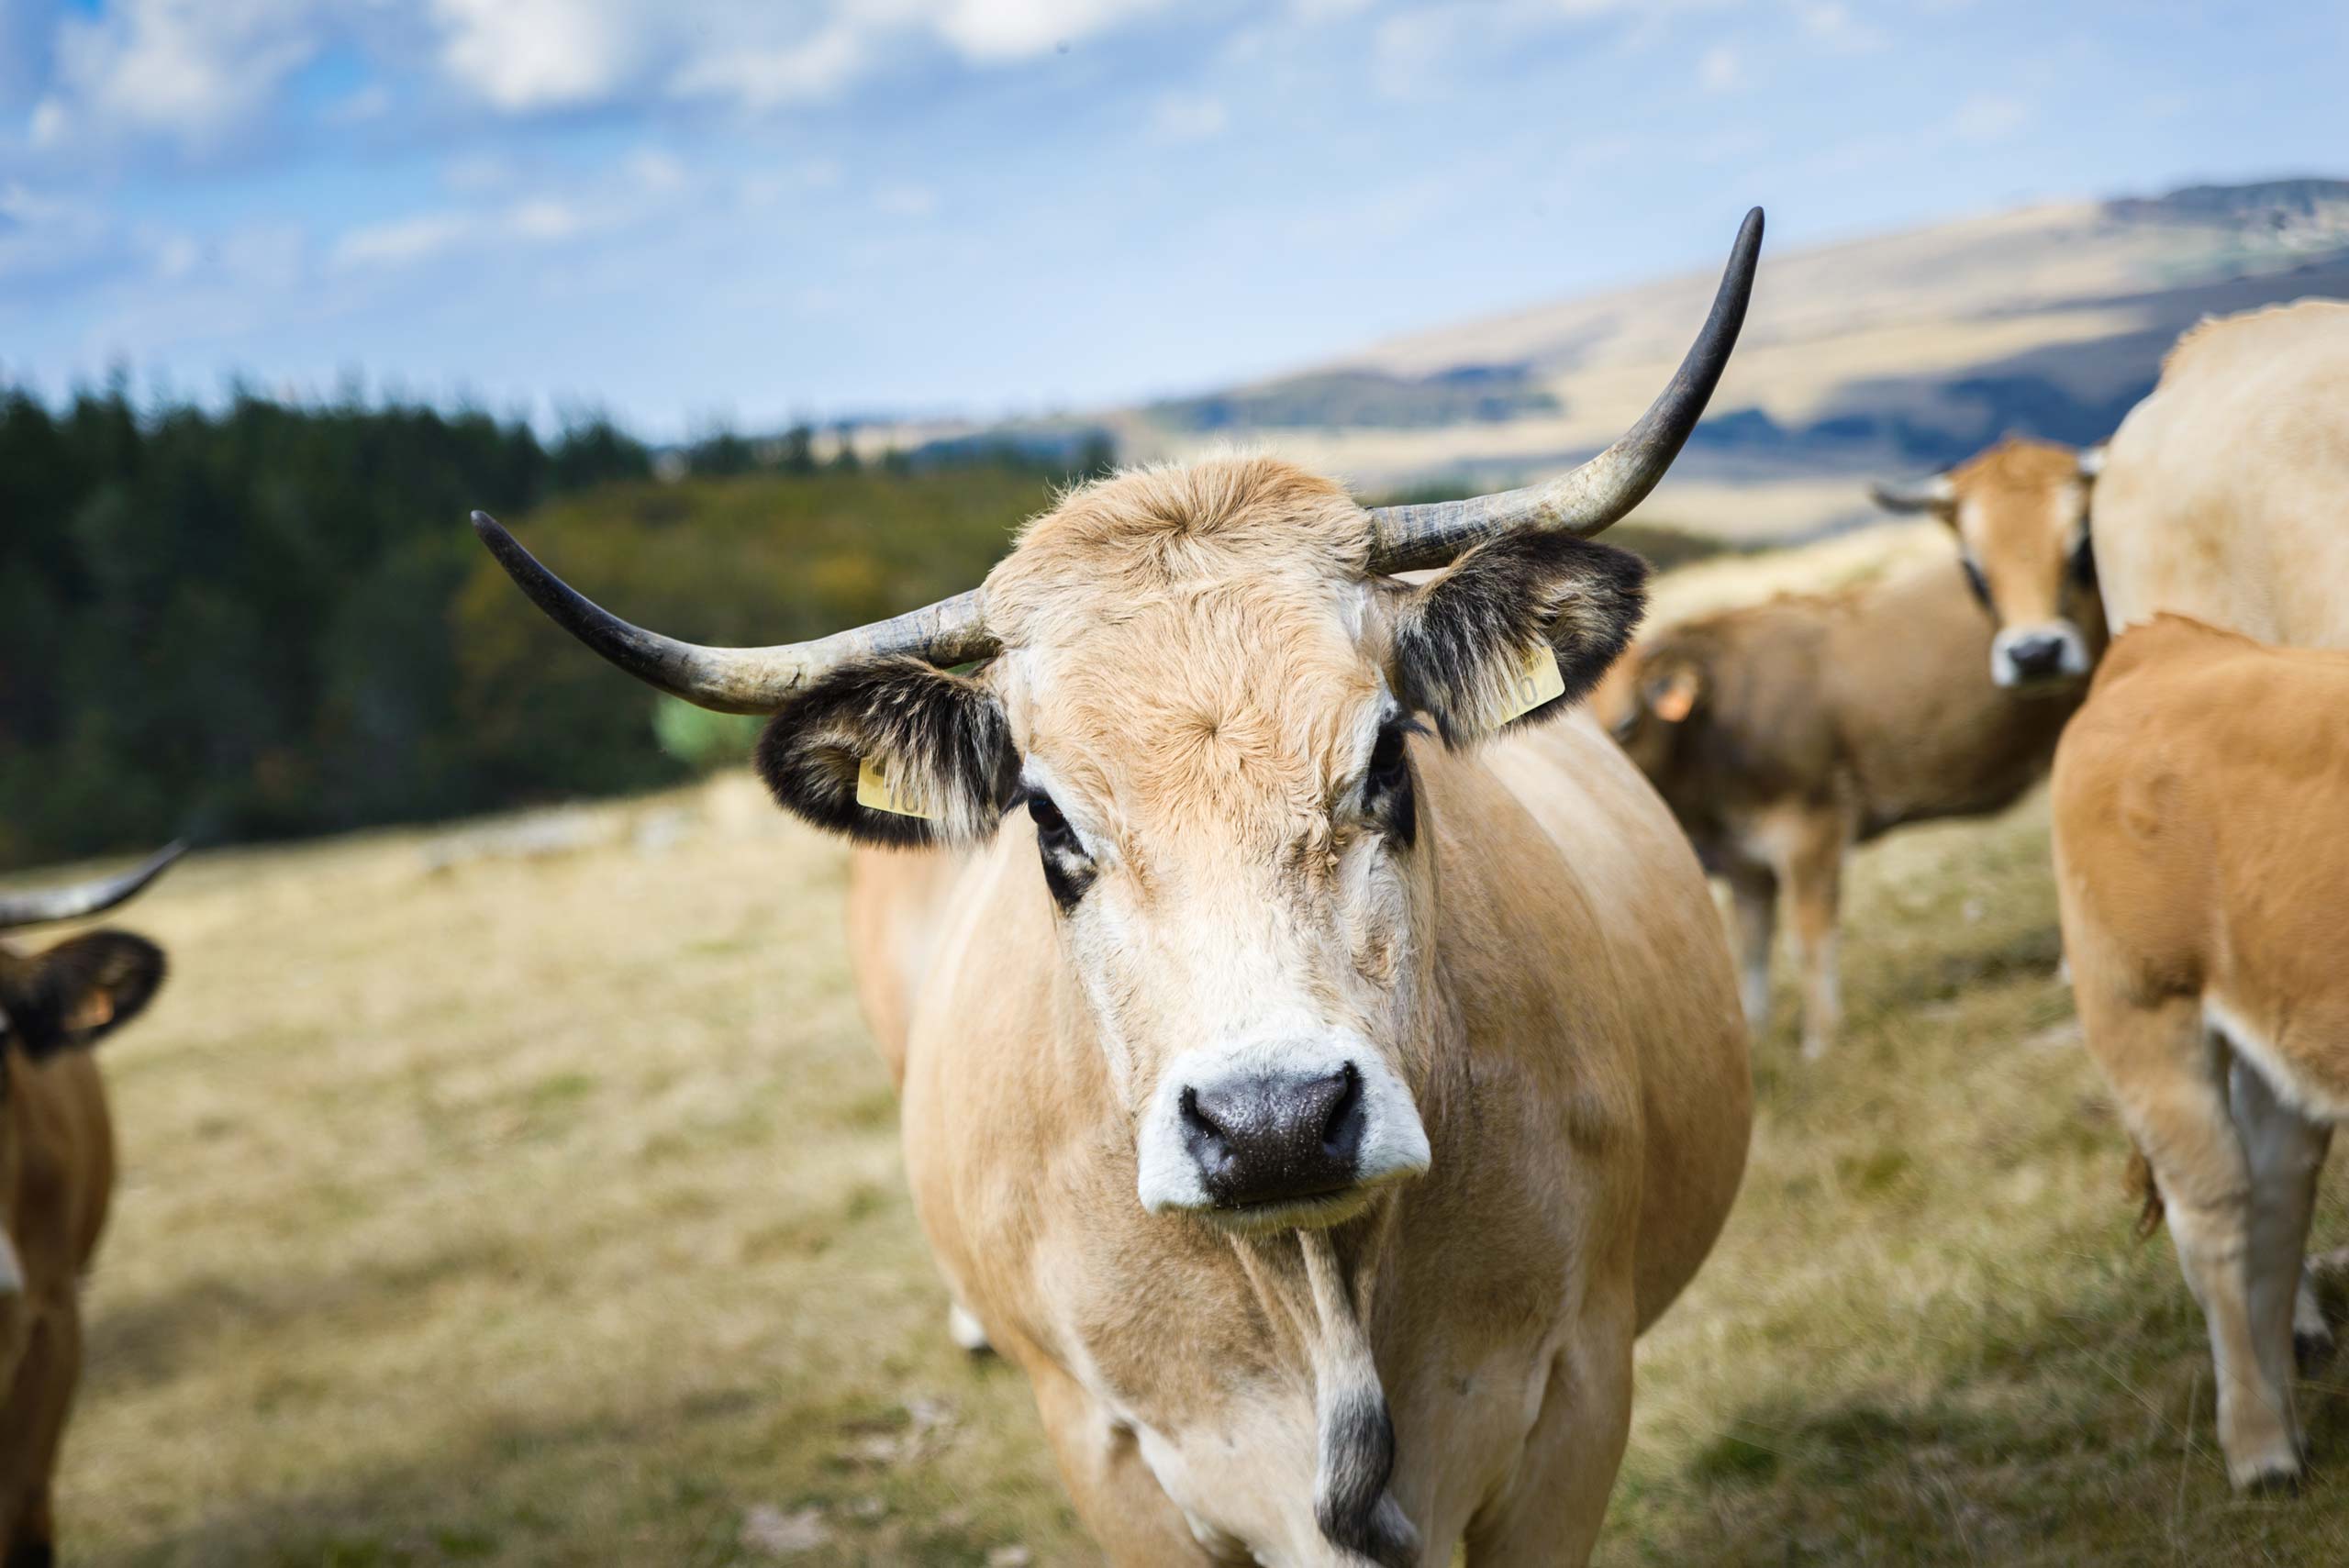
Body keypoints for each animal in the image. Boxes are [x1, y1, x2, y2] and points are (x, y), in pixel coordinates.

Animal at [476, 211, 1766, 1568]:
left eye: (1387, 757)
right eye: (1048, 822)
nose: (1273, 1120)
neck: (1317, 1296)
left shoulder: (1576, 1399)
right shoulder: (1111, 1458)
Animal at [1587, 455, 2104, 1051]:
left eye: (1629, 724)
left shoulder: (1811, 826)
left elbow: (1810, 940)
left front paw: (1820, 1042)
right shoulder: (1744, 864)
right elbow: (1751, 952)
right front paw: (1755, 1039)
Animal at [2048, 619, 2339, 1493]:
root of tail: (2167, 641)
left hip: (2277, 1035)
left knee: (2277, 1200)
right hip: (2143, 1010)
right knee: (2214, 1214)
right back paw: (2259, 1447)